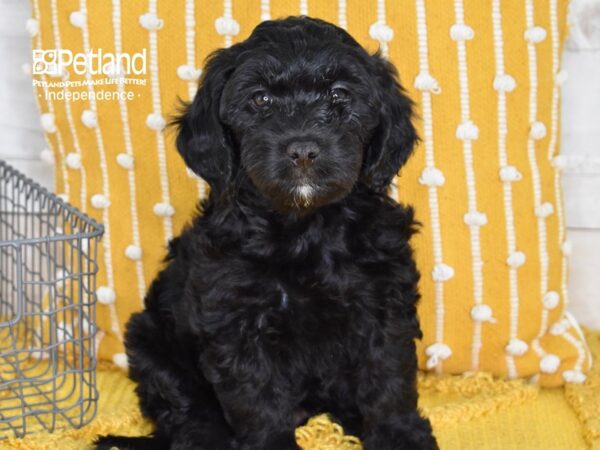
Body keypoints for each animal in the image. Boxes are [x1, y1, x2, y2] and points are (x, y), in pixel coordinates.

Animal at [97, 15, 436, 450]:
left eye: (339, 94)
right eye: (260, 100)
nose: (303, 150)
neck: (304, 228)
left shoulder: (384, 303)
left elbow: (388, 380)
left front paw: (401, 435)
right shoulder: (237, 322)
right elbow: (257, 399)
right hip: (152, 342)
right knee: (188, 412)